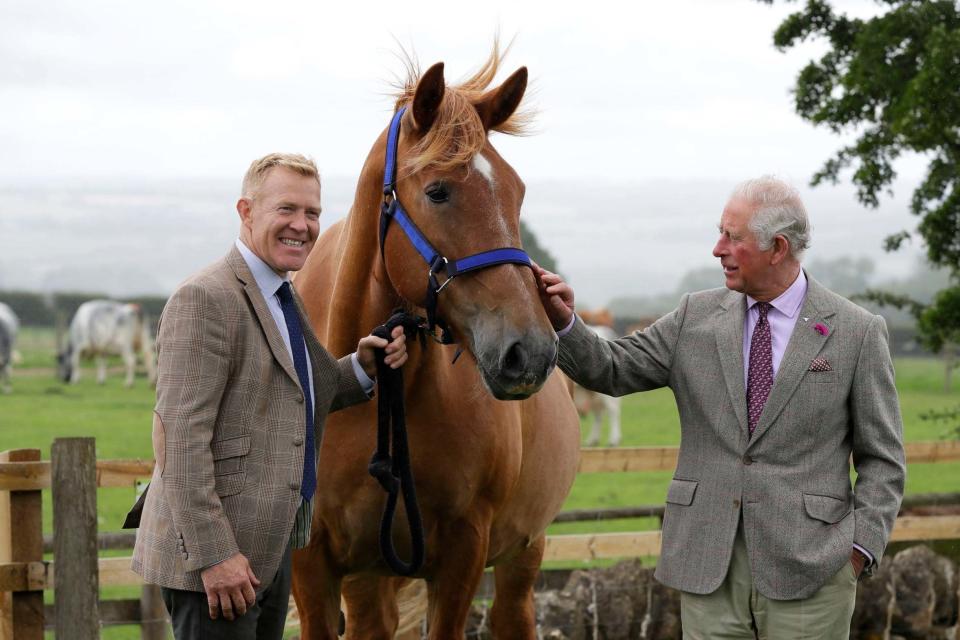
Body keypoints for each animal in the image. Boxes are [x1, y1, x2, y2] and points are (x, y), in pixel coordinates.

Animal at [290, 48, 576, 636]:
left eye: (517, 192)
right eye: (437, 191)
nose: (530, 352)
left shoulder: (463, 551)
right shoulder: (312, 564)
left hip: (522, 554)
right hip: (370, 573)